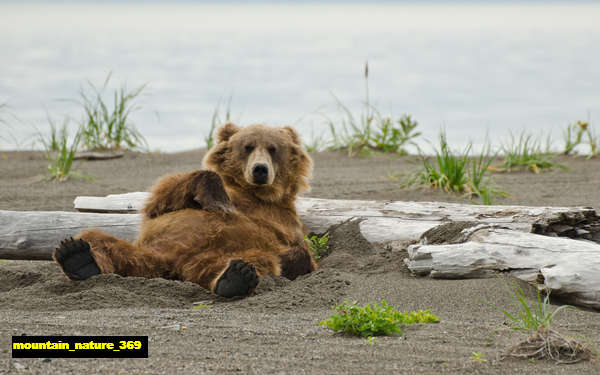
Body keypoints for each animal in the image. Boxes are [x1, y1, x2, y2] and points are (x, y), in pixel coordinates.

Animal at [53, 125, 316, 298]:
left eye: (273, 148)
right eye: (248, 147)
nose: (260, 169)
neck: (254, 193)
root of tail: (171, 266)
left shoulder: (284, 220)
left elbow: (300, 253)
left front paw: (290, 257)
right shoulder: (169, 203)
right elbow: (163, 198)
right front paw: (219, 201)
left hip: (216, 255)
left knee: (255, 260)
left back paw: (235, 277)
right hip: (148, 249)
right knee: (97, 239)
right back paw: (78, 257)